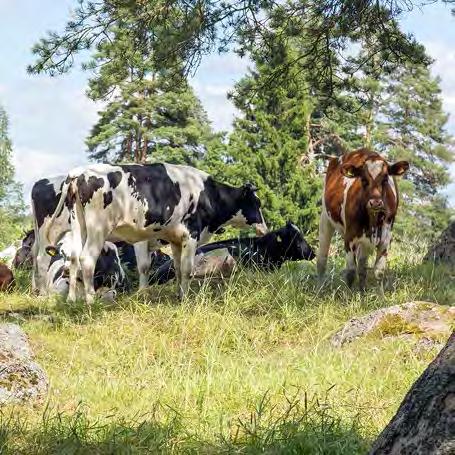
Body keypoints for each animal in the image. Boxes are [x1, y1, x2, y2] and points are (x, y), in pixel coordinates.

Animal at [45, 162, 268, 304]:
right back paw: (90, 300)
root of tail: (79, 173)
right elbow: (185, 268)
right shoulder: (190, 234)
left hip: (78, 225)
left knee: (74, 258)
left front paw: (178, 295)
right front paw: (185, 299)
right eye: (256, 203)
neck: (207, 194)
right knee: (87, 259)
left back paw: (73, 299)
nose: (264, 229)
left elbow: (177, 268)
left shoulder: (175, 239)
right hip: (98, 228)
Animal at [318, 149, 410, 292]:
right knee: (322, 259)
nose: (375, 202)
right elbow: (350, 272)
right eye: (363, 179)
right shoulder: (349, 237)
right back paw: (319, 288)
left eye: (385, 179)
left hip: (365, 241)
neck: (373, 220)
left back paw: (362, 292)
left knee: (362, 267)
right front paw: (348, 296)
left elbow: (378, 272)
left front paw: (379, 295)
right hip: (325, 219)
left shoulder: (386, 239)